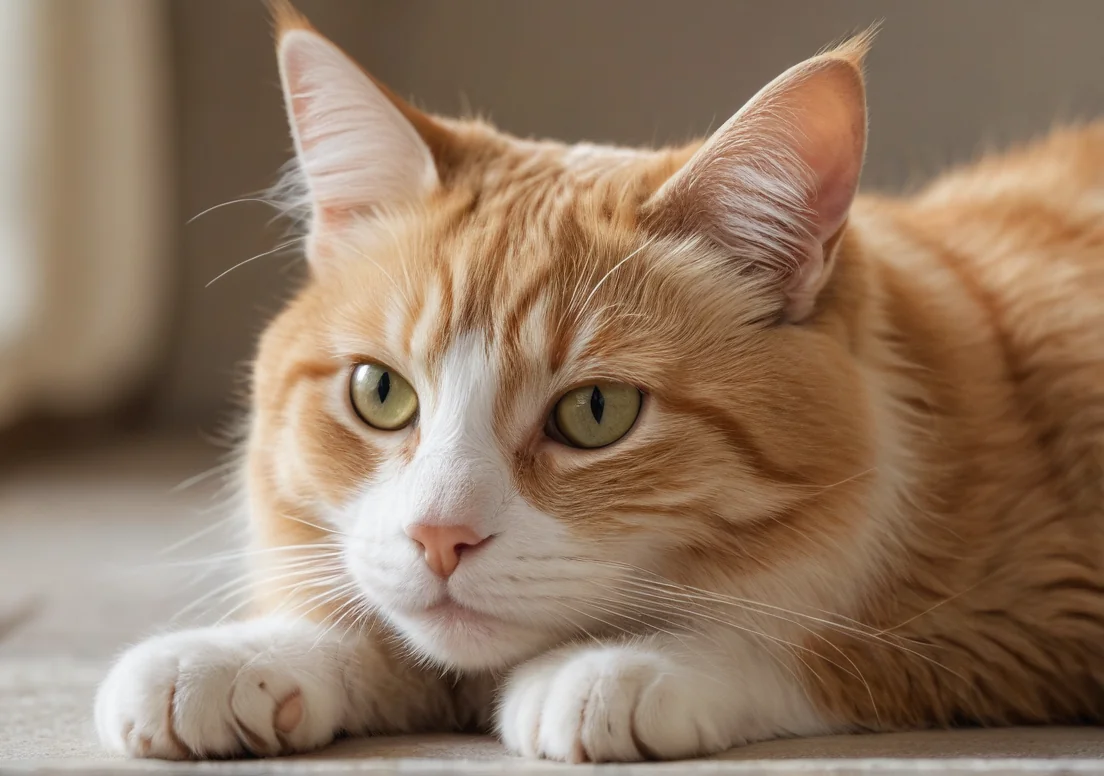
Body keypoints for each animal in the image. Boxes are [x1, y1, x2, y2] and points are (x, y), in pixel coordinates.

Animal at [92, 0, 1104, 763]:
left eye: (596, 412)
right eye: (381, 394)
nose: (440, 538)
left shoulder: (1029, 617)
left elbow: (821, 645)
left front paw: (629, 664)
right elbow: (372, 624)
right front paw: (245, 654)